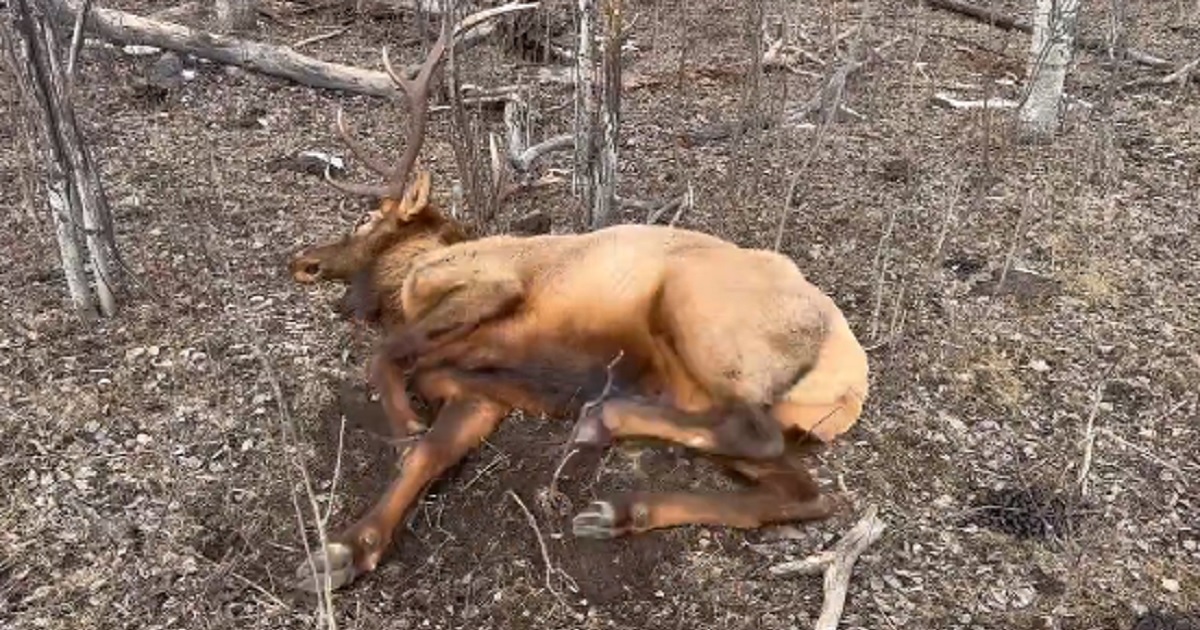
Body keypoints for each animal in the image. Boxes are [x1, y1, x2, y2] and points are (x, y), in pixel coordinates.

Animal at [286, 19, 871, 594]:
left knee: (755, 433)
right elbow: (428, 452)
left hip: (696, 313)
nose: (303, 261)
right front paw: (343, 551)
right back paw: (621, 509)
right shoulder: (478, 393)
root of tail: (852, 380)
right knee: (805, 491)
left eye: (365, 219)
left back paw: (602, 421)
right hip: (718, 399)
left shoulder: (490, 284)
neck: (409, 276)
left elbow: (385, 357)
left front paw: (404, 421)